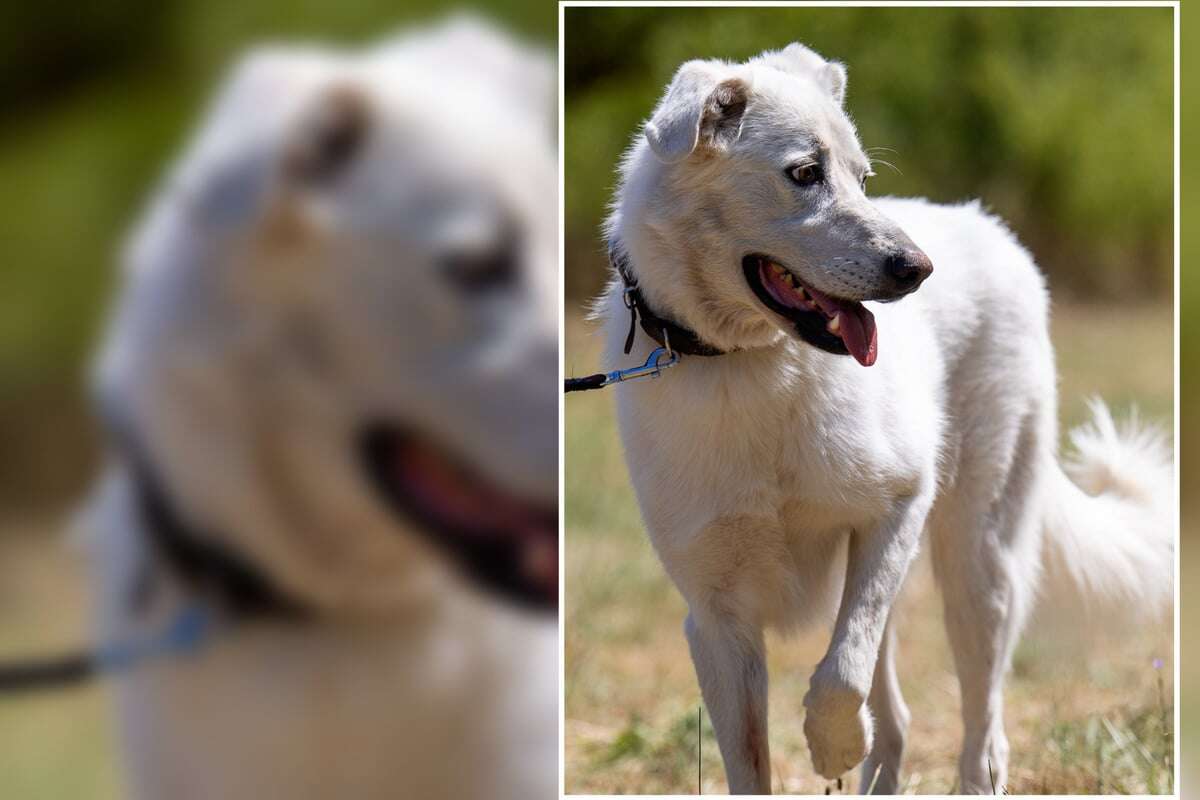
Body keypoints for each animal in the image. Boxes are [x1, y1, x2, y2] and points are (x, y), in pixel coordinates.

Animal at [600, 43, 1171, 796]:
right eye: (804, 174)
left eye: (862, 178)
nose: (916, 269)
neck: (750, 362)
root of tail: (989, 225)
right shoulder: (717, 619)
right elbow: (754, 755)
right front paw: (836, 750)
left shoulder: (897, 506)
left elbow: (841, 674)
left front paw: (831, 747)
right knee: (896, 713)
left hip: (977, 562)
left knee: (980, 724)